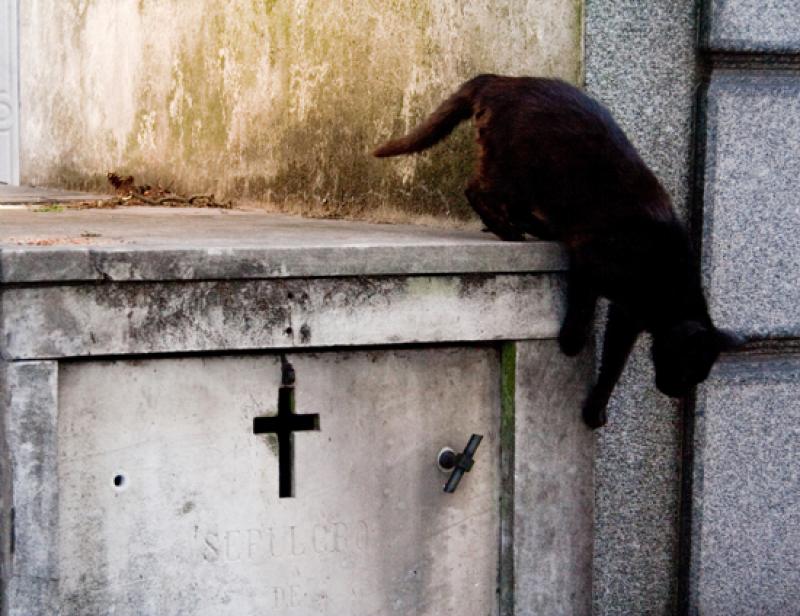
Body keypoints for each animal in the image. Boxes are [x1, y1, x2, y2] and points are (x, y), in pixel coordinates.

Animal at [376, 73, 744, 428]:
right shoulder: (594, 267)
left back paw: (527, 228)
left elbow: (615, 360)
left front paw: (596, 407)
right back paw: (508, 232)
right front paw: (571, 343)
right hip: (516, 172)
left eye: (696, 376)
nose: (675, 392)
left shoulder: (627, 313)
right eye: (687, 369)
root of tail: (500, 79)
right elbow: (587, 312)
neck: (665, 278)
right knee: (474, 189)